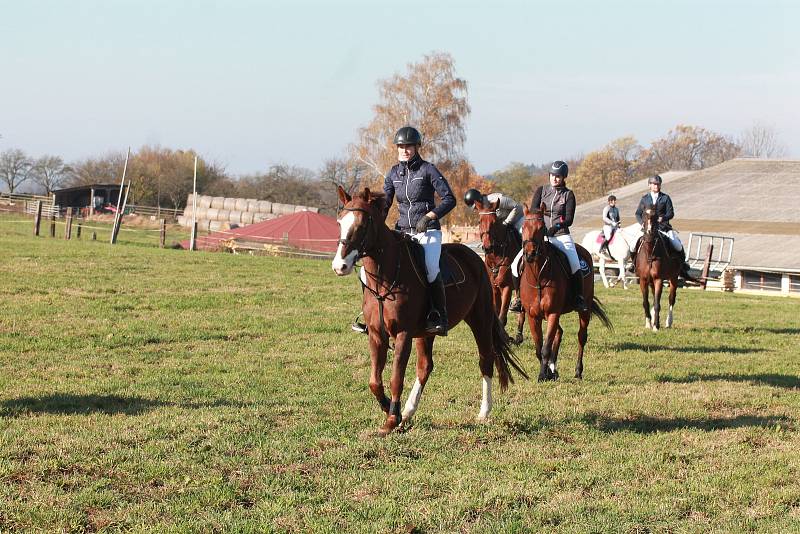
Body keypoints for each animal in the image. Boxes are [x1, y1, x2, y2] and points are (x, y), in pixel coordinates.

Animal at [476, 199, 524, 346]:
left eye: (494, 222)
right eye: (479, 221)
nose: (487, 247)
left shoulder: (506, 287)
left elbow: (502, 316)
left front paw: (505, 339)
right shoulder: (494, 288)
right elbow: (496, 314)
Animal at [520, 203, 612, 384]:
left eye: (541, 228)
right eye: (523, 227)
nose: (530, 254)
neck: (538, 277)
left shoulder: (553, 313)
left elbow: (545, 348)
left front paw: (542, 375)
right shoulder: (533, 316)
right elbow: (539, 347)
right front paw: (548, 373)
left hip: (584, 310)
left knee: (581, 337)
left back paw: (578, 371)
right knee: (559, 333)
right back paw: (553, 370)